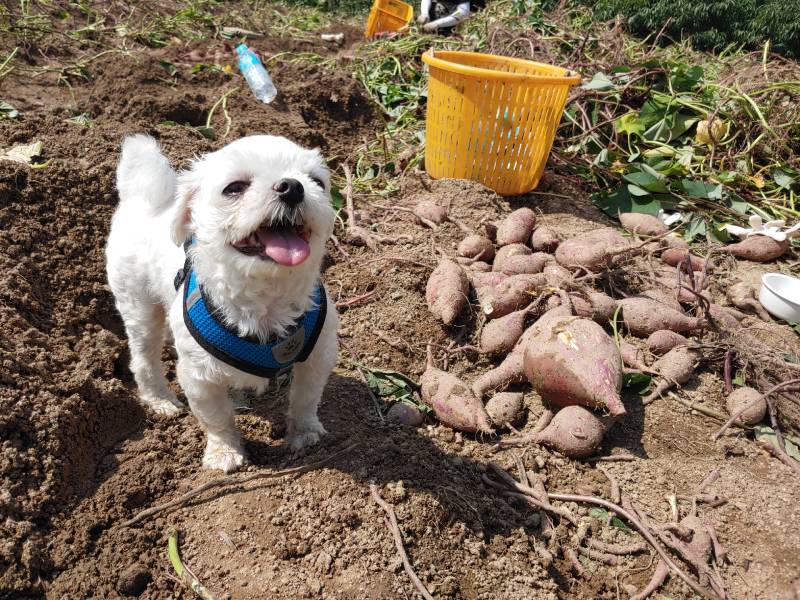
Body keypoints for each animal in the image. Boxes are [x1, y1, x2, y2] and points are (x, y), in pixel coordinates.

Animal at [105, 135, 338, 474]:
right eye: (234, 188)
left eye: (317, 181)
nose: (292, 187)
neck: (267, 299)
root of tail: (142, 200)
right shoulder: (199, 376)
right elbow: (217, 418)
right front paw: (224, 451)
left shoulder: (317, 355)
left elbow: (306, 399)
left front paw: (304, 434)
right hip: (139, 306)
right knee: (143, 358)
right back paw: (159, 399)